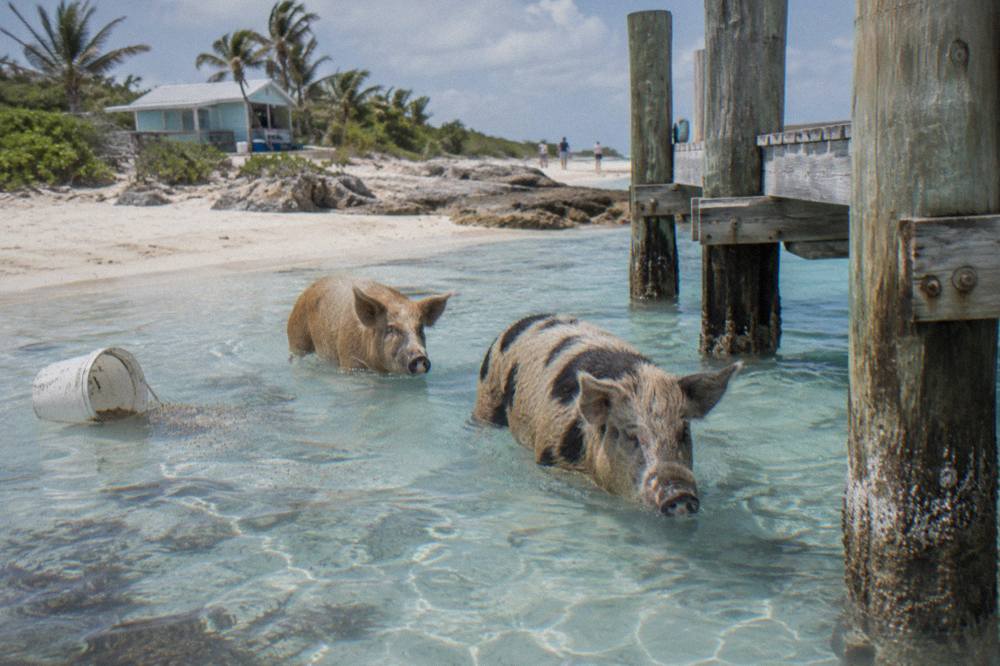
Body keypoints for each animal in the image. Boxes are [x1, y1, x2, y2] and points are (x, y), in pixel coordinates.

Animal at [473, 314, 740, 516]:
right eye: (631, 436)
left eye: (683, 432)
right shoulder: (550, 454)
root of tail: (526, 319)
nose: (680, 492)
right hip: (487, 394)